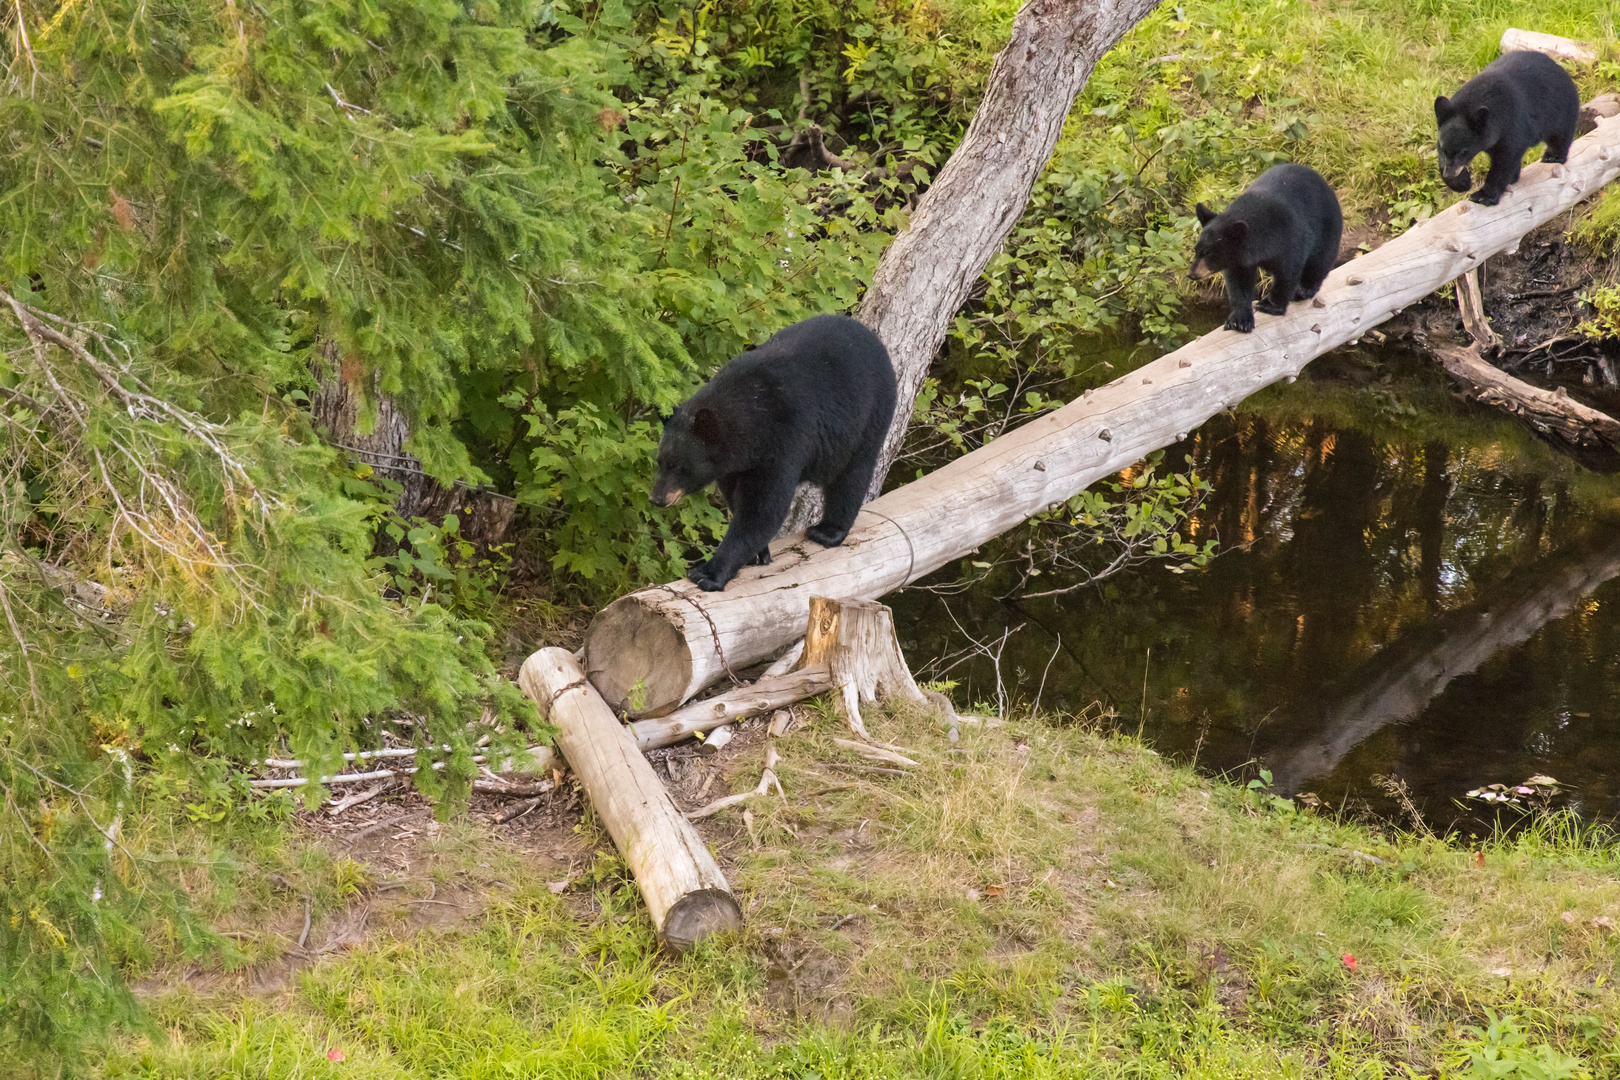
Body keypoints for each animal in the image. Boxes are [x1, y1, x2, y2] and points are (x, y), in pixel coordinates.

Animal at [644, 317, 900, 592]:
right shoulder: (735, 464)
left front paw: (709, 573)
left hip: (869, 415)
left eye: (680, 466)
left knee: (852, 474)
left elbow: (764, 508)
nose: (657, 498)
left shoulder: (785, 437)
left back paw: (829, 531)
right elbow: (737, 499)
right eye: (660, 462)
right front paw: (758, 553)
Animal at [1192, 162, 1341, 333]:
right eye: (1196, 250)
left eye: (1208, 253)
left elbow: (1288, 270)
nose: (1192, 273)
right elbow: (1238, 282)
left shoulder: (1289, 235)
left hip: (1328, 227)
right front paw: (1239, 320)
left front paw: (1270, 306)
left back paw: (1303, 290)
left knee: (1320, 261)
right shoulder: (1239, 259)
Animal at [1438, 50, 1574, 207]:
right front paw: (1461, 181)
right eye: (1443, 148)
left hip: (1561, 108)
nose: (1449, 172)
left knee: (1560, 135)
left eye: (1463, 152)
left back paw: (1553, 156)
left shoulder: (1511, 124)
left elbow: (1505, 159)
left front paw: (1483, 195)